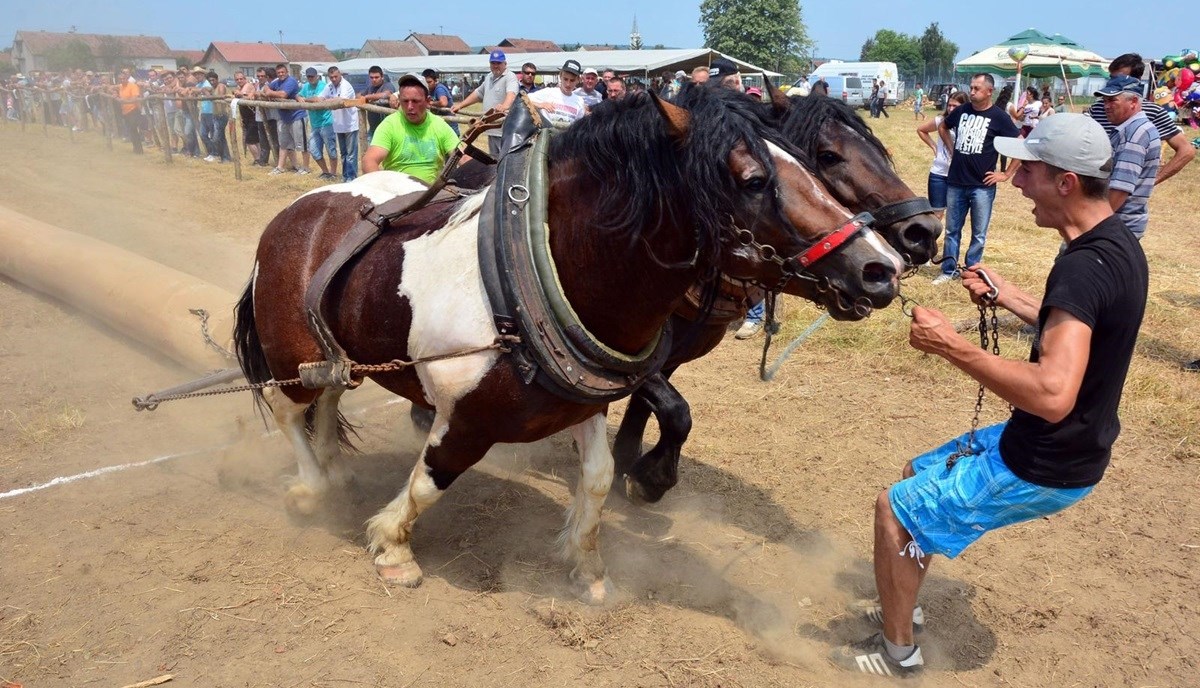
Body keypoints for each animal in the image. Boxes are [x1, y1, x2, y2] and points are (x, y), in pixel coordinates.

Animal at [231, 90, 902, 600]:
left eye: (812, 164)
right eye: (754, 179)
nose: (883, 267)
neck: (531, 278)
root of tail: (301, 210)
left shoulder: (587, 401)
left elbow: (600, 478)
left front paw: (588, 565)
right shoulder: (465, 419)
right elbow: (428, 480)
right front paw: (394, 548)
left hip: (337, 357)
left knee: (327, 398)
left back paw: (333, 469)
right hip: (290, 355)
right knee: (291, 409)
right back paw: (311, 486)